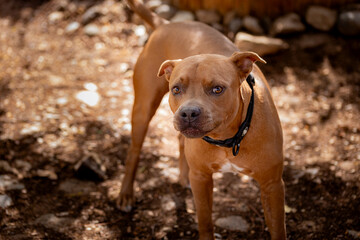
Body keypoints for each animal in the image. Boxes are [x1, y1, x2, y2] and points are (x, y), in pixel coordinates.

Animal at [119, 0, 286, 239]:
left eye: (217, 89)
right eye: (176, 89)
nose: (188, 113)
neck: (228, 139)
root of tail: (165, 23)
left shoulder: (272, 185)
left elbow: (278, 228)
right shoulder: (201, 178)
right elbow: (205, 221)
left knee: (180, 141)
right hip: (143, 108)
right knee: (134, 151)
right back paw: (126, 194)